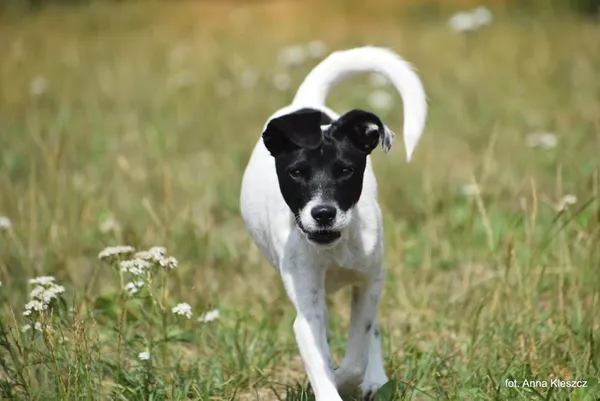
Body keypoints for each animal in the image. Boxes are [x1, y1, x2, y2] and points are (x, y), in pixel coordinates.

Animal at [239, 45, 426, 398]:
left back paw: (376, 379)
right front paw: (328, 381)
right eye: (297, 172)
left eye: (346, 171)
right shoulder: (308, 307)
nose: (323, 213)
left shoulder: (368, 283)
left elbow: (357, 352)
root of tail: (307, 102)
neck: (335, 246)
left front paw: (346, 377)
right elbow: (320, 357)